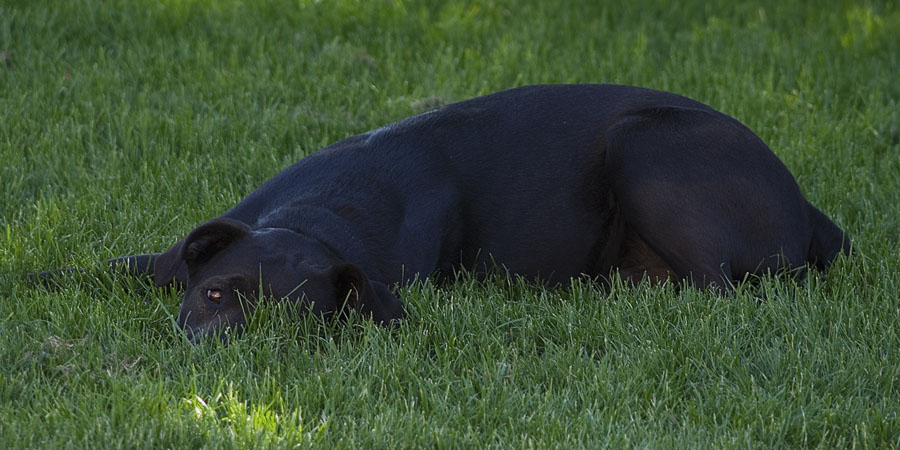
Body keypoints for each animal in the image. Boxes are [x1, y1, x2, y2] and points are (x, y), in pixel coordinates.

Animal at [47, 84, 852, 338]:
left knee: (718, 290)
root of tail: (812, 210)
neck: (321, 217)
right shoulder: (166, 261)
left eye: (297, 328)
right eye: (213, 295)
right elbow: (76, 270)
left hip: (643, 146)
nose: (223, 353)